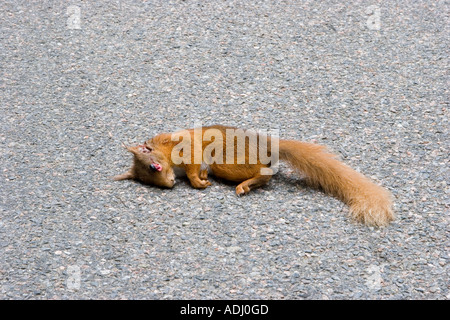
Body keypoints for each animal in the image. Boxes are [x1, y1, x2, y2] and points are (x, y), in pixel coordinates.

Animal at [115, 125, 394, 228]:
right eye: (146, 181)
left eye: (154, 167)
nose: (170, 184)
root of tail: (269, 146)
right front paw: (200, 178)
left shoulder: (187, 148)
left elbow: (194, 167)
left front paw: (199, 182)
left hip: (228, 162)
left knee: (266, 174)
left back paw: (245, 185)